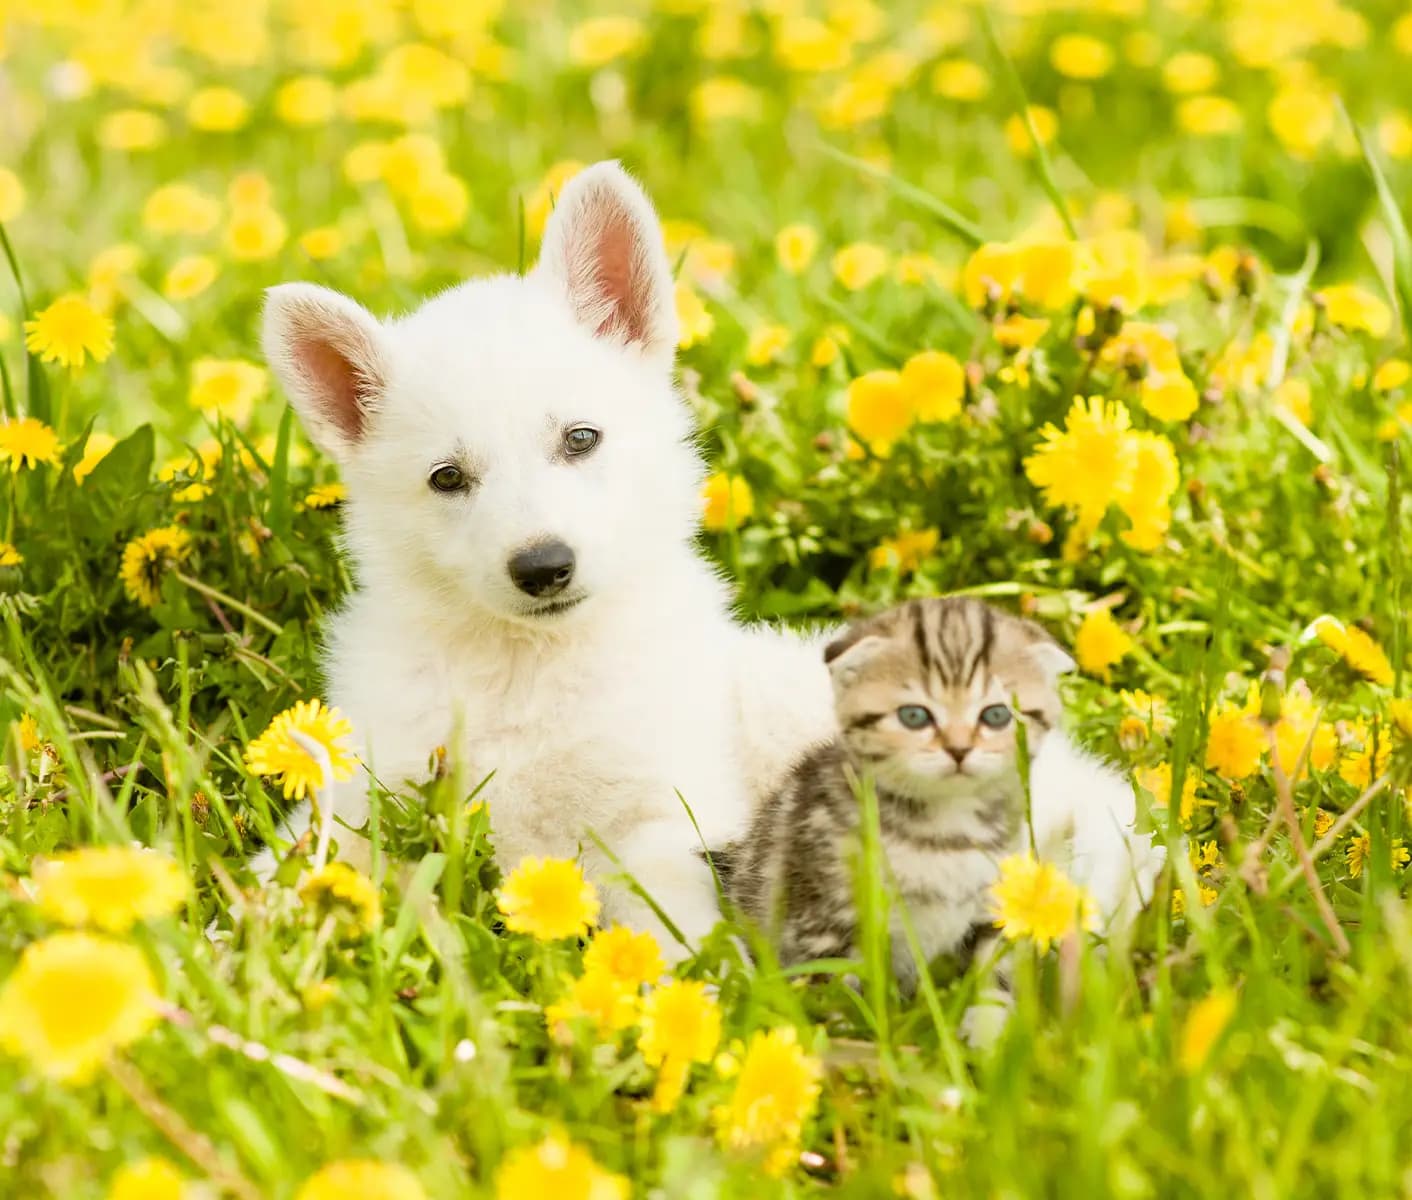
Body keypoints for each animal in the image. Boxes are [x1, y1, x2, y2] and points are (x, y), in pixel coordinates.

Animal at [259, 161, 835, 954]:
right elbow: (288, 868)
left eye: (580, 438)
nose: (542, 567)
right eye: (447, 478)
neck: (528, 668)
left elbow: (665, 935)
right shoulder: (370, 794)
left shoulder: (666, 817)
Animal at [728, 592, 1067, 988]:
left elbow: (995, 978)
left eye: (996, 715)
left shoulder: (994, 906)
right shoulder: (822, 920)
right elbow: (833, 992)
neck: (945, 829)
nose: (959, 750)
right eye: (914, 716)